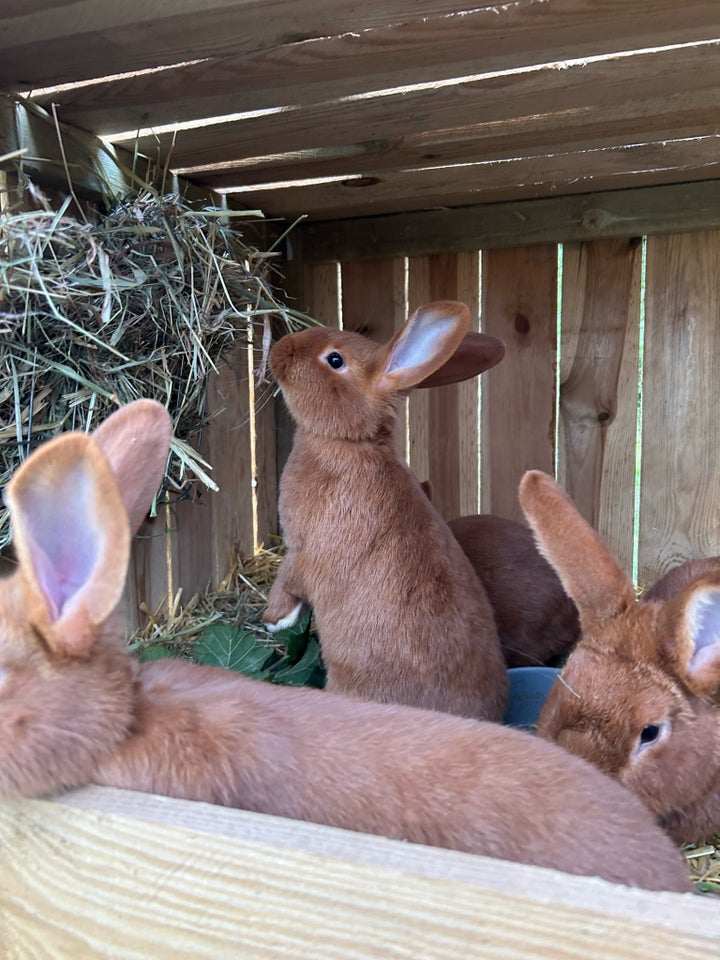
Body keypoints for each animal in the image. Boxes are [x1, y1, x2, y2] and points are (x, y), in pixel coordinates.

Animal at [262, 302, 506, 720]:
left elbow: (289, 578)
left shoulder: (304, 547)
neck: (350, 442)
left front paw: (274, 620)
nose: (281, 348)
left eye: (335, 359)